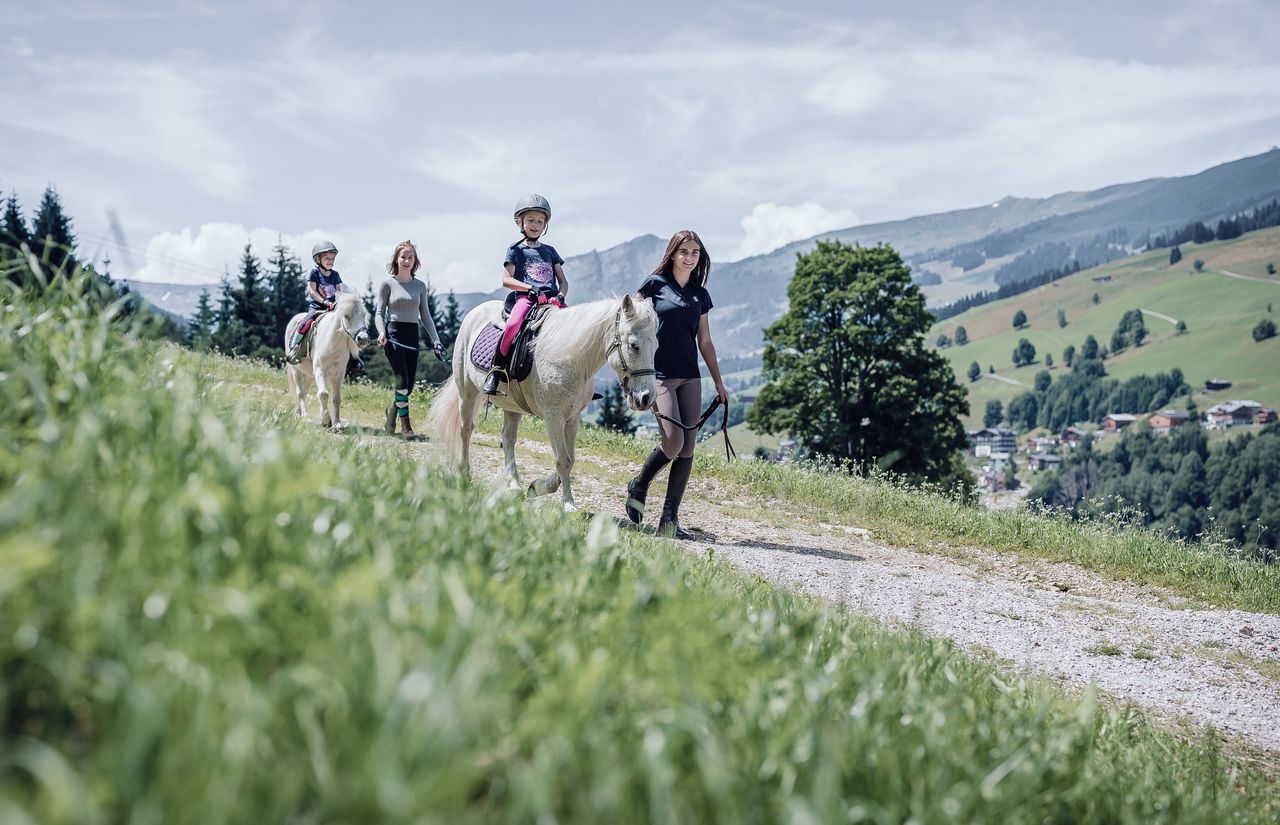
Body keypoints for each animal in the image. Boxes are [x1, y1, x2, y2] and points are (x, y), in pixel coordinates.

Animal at [284, 291, 371, 432]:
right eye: (346, 316)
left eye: (363, 315)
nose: (363, 339)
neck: (332, 341)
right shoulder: (321, 370)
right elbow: (323, 394)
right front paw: (326, 421)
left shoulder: (339, 373)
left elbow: (336, 398)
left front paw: (337, 423)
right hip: (296, 369)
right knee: (299, 392)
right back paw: (304, 416)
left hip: (310, 374)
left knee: (304, 391)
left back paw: (299, 413)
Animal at [427, 289, 655, 509]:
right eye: (634, 345)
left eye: (656, 347)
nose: (646, 398)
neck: (571, 358)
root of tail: (474, 313)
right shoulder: (553, 417)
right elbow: (563, 461)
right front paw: (569, 505)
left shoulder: (572, 418)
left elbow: (571, 459)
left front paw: (536, 487)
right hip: (466, 391)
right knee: (466, 429)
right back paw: (464, 474)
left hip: (512, 406)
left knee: (508, 438)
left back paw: (514, 484)